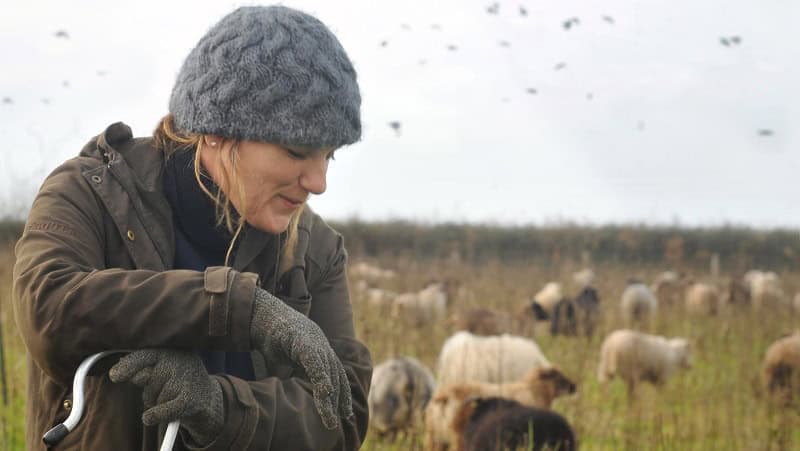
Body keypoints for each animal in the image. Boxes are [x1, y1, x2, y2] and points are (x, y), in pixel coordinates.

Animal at [424, 368, 576, 451]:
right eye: (559, 377)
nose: (574, 387)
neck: (534, 390)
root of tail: (444, 395)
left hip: (435, 439)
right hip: (456, 439)